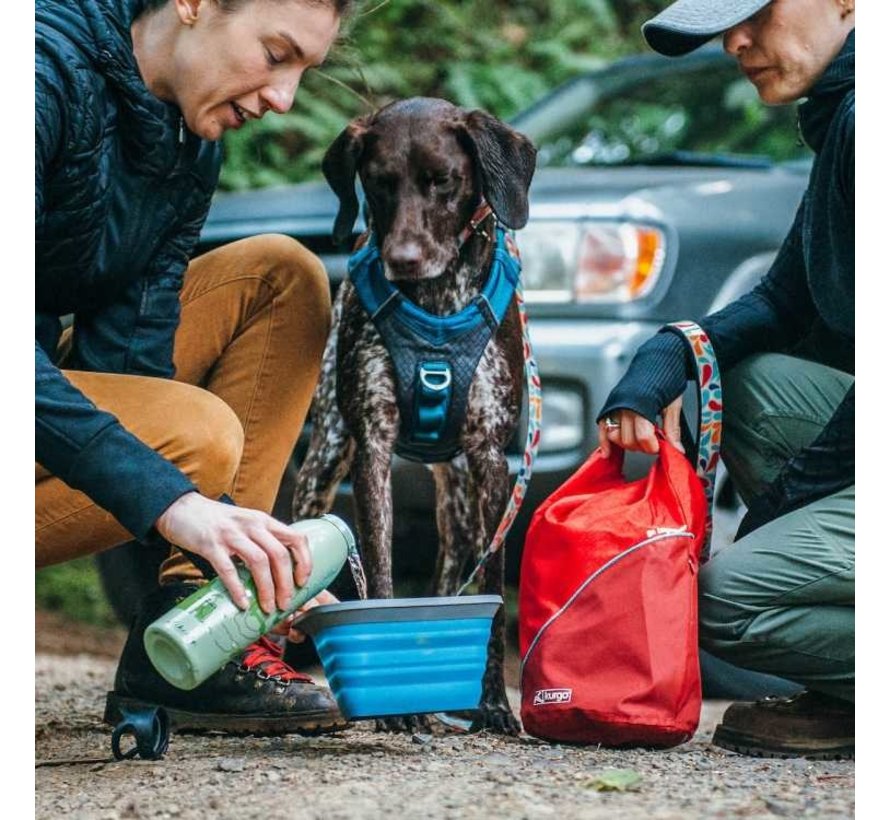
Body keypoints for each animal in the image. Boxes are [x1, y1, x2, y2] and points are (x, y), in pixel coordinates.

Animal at [294, 99, 536, 732]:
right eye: (379, 184)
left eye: (442, 181)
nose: (401, 260)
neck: (437, 304)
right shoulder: (373, 450)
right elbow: (379, 571)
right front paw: (393, 707)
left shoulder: (491, 460)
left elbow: (493, 595)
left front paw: (494, 705)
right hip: (323, 461)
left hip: (461, 501)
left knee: (454, 573)